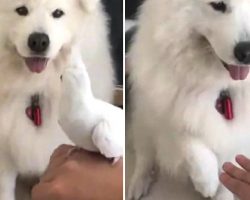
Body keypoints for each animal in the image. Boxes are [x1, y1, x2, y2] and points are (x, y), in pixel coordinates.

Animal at [0, 0, 123, 200]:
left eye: (57, 13)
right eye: (21, 10)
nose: (39, 41)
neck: (35, 87)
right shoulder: (5, 150)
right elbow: (5, 188)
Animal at [128, 0, 250, 200]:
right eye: (218, 5)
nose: (246, 52)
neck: (223, 86)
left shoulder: (240, 137)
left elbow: (230, 166)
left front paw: (221, 192)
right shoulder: (164, 106)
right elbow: (186, 135)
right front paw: (206, 181)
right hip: (144, 123)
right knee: (144, 157)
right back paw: (138, 183)